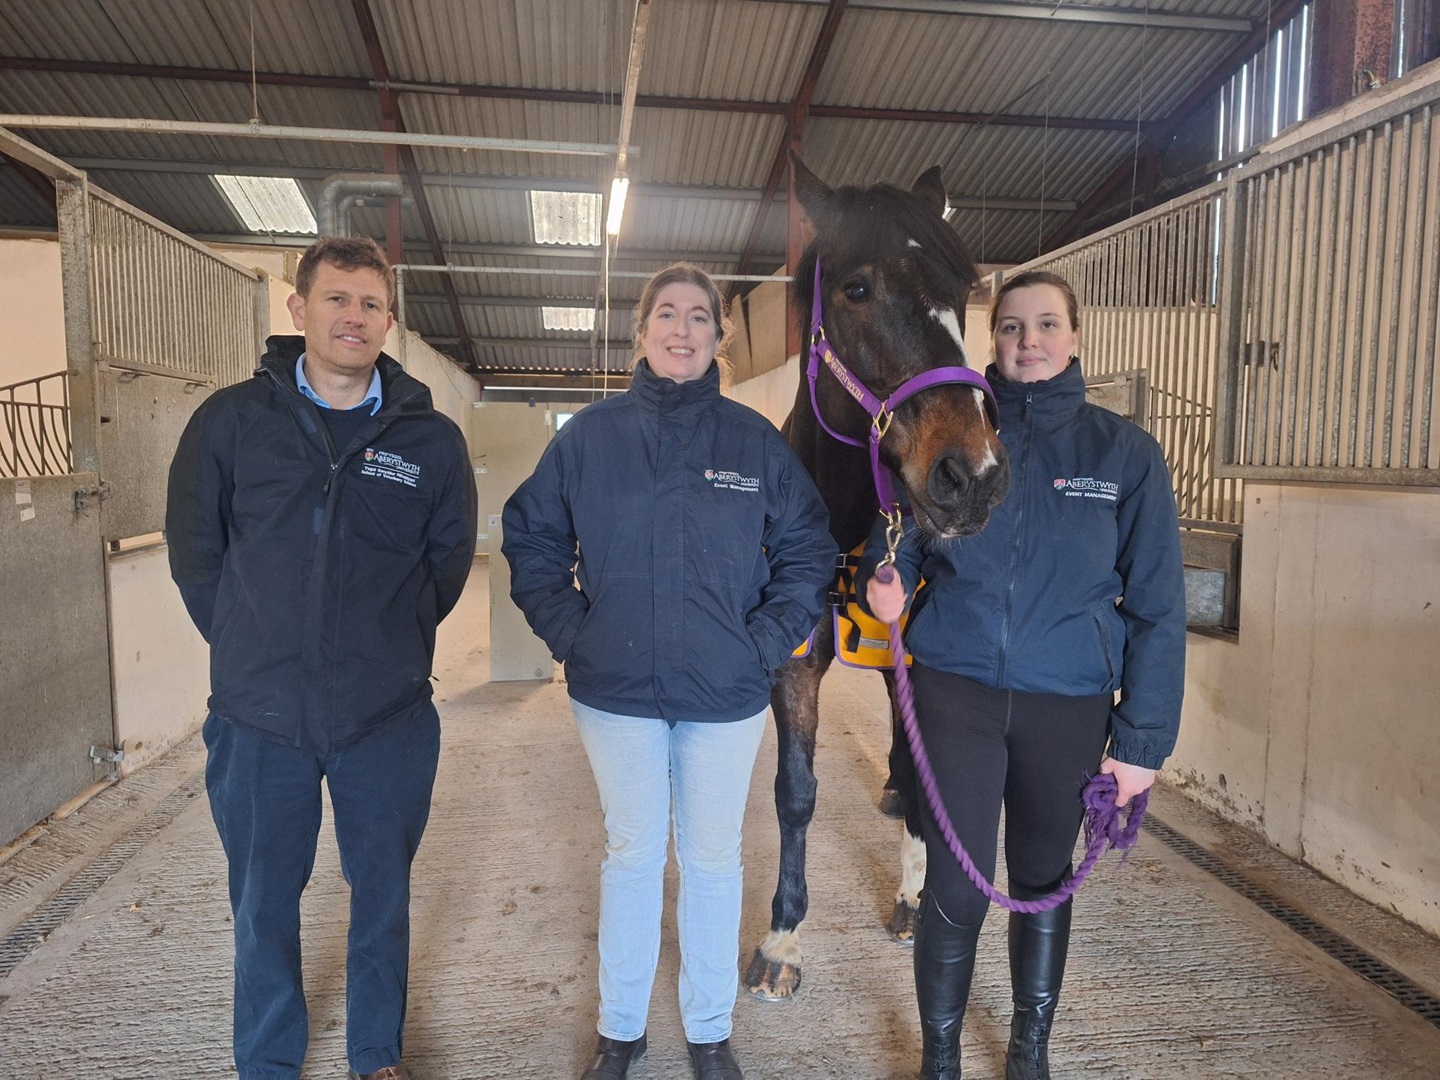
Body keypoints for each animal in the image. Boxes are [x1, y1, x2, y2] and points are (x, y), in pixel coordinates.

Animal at [743, 156, 1013, 1002]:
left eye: (964, 289)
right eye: (857, 288)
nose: (973, 475)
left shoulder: (922, 657)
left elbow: (933, 780)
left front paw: (916, 897)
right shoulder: (794, 662)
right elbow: (796, 793)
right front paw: (783, 938)